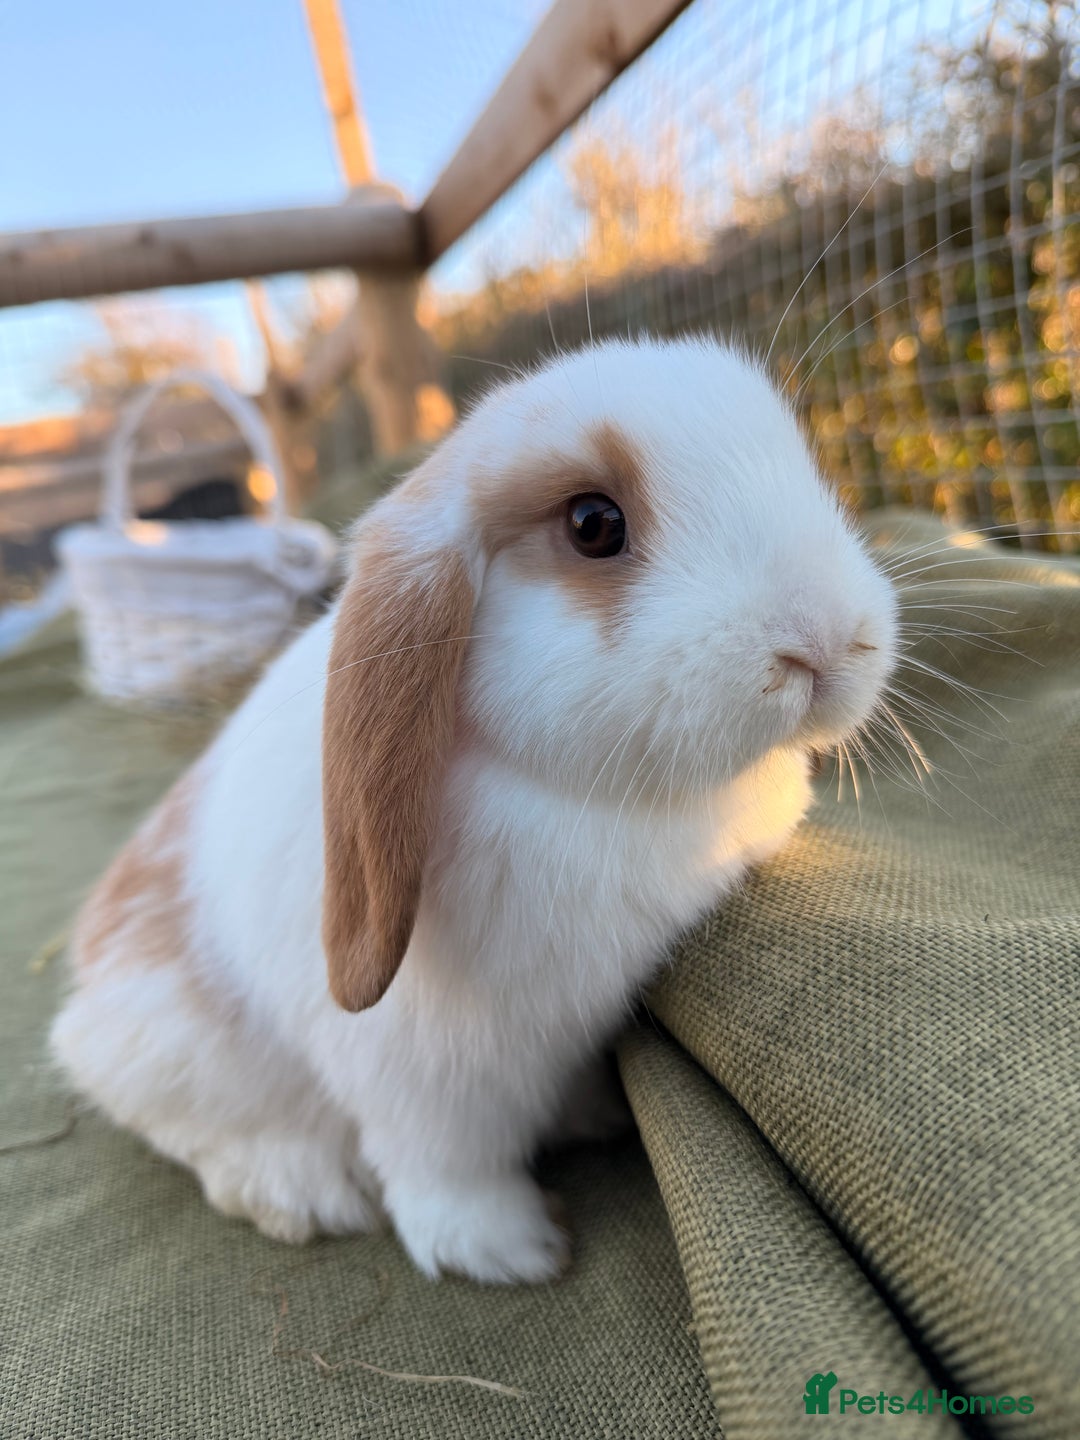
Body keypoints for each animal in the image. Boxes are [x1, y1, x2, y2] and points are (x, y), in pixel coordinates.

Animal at [50, 337, 898, 1283]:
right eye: (594, 525)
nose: (829, 640)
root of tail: (83, 992)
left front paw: (592, 1115)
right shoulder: (421, 1071)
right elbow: (443, 1164)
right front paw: (511, 1250)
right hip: (169, 1049)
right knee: (204, 1130)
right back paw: (300, 1191)